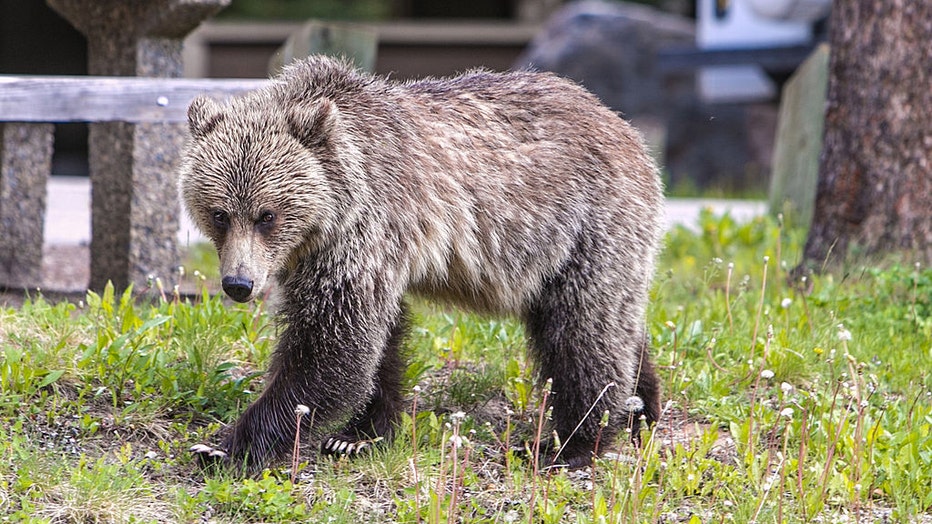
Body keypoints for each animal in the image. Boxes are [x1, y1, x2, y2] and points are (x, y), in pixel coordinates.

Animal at [179, 55, 663, 471]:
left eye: (267, 215)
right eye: (220, 214)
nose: (238, 283)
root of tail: (623, 126)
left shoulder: (363, 232)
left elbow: (331, 349)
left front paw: (224, 446)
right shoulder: (343, 257)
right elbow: (378, 340)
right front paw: (358, 435)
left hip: (583, 225)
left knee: (582, 332)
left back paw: (570, 443)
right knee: (614, 323)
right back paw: (642, 409)